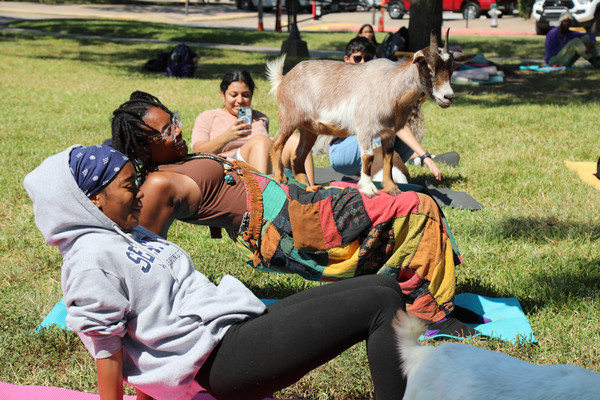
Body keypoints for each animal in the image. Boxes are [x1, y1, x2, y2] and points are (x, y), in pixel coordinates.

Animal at [268, 28, 474, 198]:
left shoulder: (389, 132)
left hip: (309, 129)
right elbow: (368, 157)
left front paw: (391, 188)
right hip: (289, 116)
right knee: (277, 143)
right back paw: (280, 178)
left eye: (452, 69)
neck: (390, 84)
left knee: (297, 156)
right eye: (428, 67)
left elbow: (388, 158)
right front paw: (368, 188)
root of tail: (283, 79)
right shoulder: (365, 128)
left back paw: (308, 187)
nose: (448, 97)